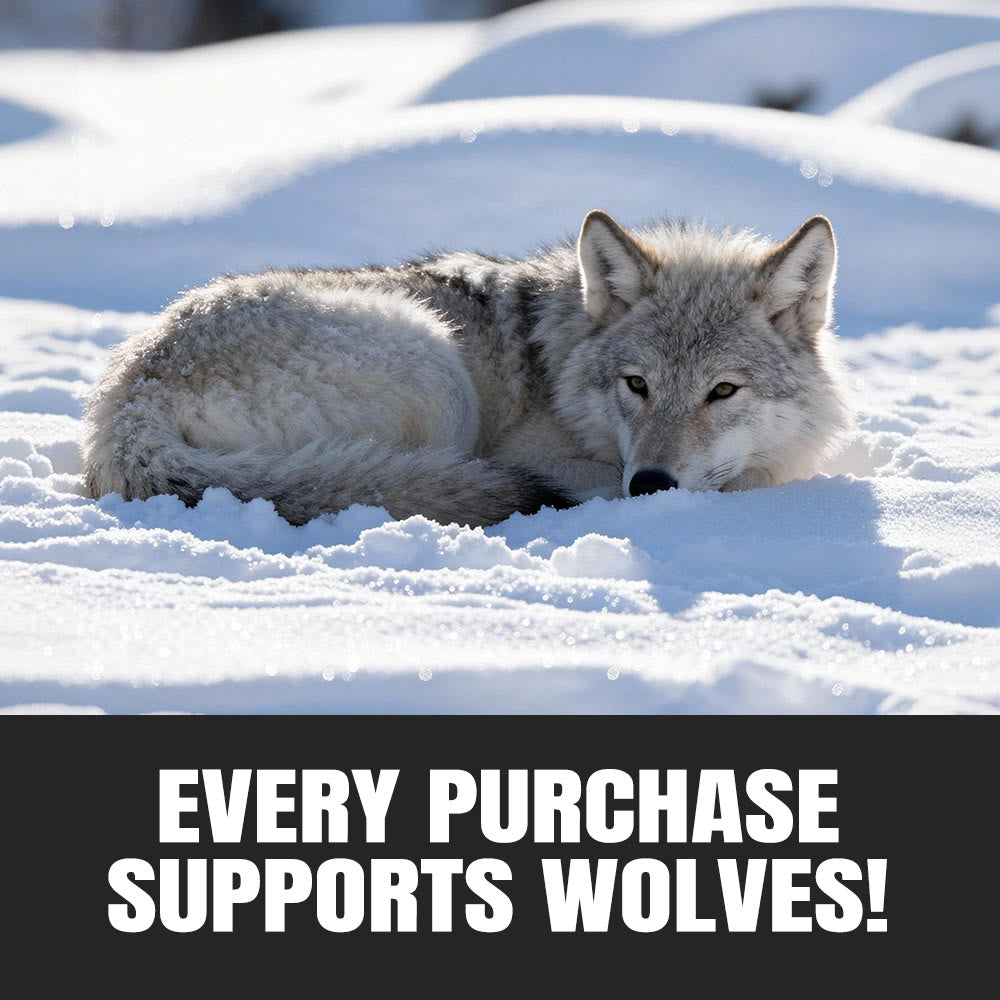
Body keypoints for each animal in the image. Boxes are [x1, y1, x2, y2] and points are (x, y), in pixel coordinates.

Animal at [82, 211, 850, 527]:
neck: (560, 364)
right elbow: (754, 477)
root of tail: (129, 400)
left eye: (722, 391)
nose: (651, 484)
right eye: (638, 385)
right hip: (434, 362)